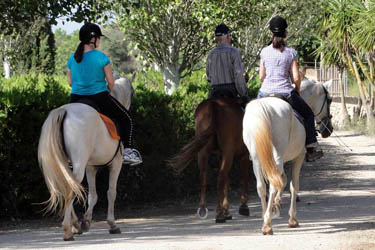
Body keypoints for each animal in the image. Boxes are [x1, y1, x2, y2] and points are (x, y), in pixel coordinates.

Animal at [36, 72, 136, 240]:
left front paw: (86, 221)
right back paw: (67, 230)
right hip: (79, 165)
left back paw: (75, 224)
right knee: (70, 189)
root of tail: (64, 111)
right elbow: (111, 193)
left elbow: (93, 195)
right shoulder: (115, 164)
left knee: (68, 186)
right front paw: (112, 224)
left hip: (66, 164)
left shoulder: (90, 167)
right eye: (133, 93)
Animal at [242, 78, 334, 234]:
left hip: (257, 159)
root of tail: (263, 108)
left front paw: (275, 206)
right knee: (272, 185)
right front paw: (292, 218)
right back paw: (268, 223)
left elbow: (283, 180)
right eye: (329, 100)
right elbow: (293, 186)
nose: (329, 130)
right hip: (277, 157)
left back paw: (264, 218)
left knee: (261, 187)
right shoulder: (298, 157)